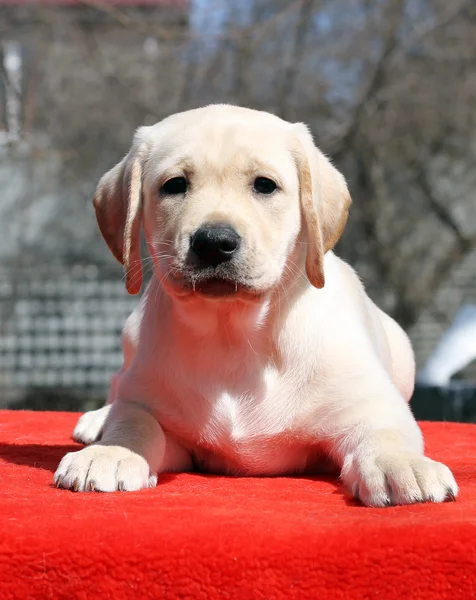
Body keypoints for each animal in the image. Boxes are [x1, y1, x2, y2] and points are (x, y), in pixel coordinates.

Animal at [54, 104, 458, 506]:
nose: (213, 242)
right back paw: (98, 420)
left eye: (264, 185)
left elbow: (385, 431)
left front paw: (402, 463)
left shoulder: (369, 404)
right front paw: (112, 451)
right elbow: (135, 420)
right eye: (174, 185)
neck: (234, 334)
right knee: (118, 386)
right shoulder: (154, 409)